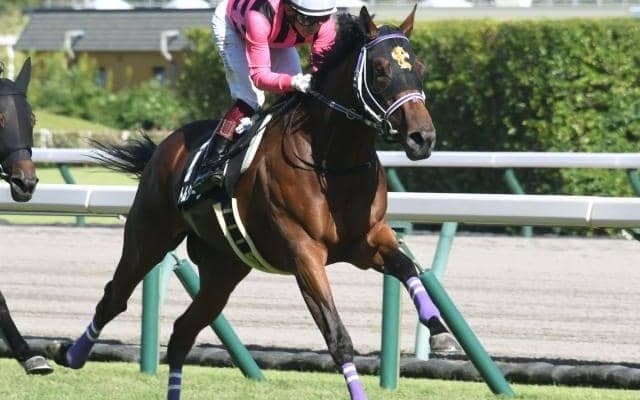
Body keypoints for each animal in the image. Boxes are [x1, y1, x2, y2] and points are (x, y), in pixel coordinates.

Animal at [51, 8, 460, 399]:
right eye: (379, 70)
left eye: (420, 67)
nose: (422, 138)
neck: (333, 160)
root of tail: (164, 147)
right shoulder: (304, 254)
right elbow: (337, 337)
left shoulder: (367, 241)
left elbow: (407, 267)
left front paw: (440, 332)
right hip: (148, 236)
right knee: (115, 297)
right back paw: (71, 353)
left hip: (224, 268)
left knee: (183, 332)